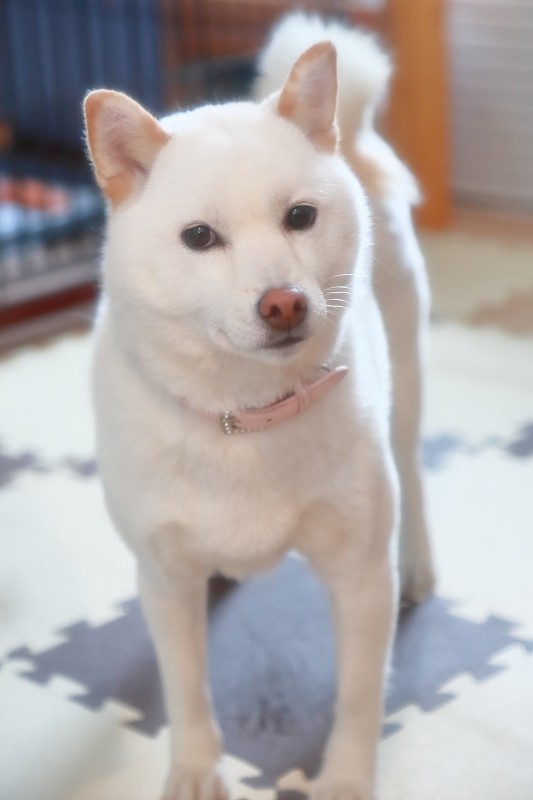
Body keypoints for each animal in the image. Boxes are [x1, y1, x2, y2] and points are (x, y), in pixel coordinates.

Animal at [83, 12, 432, 800]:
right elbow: (186, 689)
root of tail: (349, 135)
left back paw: (421, 563)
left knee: (413, 468)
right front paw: (193, 770)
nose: (284, 303)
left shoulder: (359, 573)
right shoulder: (163, 578)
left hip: (407, 376)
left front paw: (344, 779)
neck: (244, 413)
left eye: (300, 217)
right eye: (198, 237)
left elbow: (359, 696)